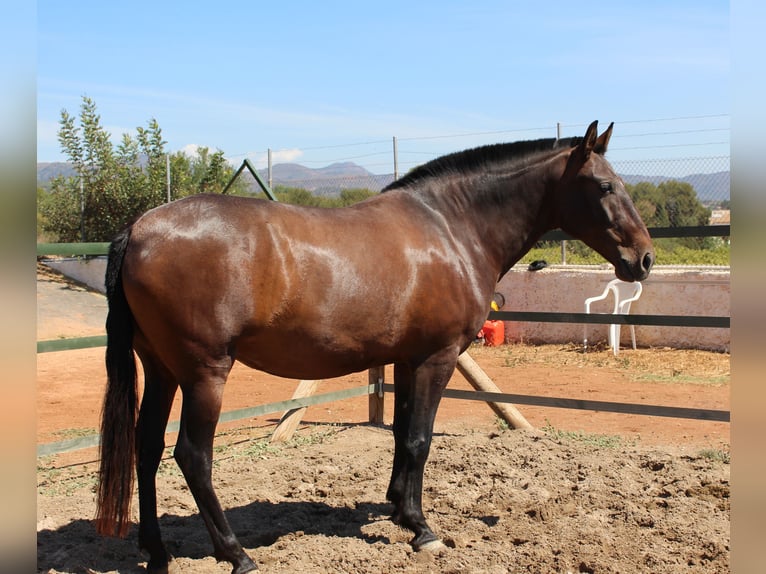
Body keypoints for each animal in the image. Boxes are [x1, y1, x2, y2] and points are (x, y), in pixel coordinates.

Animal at [94, 119, 656, 572]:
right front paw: (423, 530)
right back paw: (237, 554)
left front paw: (400, 511)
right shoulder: (437, 358)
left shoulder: (407, 361)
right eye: (605, 185)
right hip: (204, 373)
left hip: (163, 370)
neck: (451, 227)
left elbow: (403, 434)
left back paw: (157, 551)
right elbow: (420, 439)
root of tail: (138, 229)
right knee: (192, 456)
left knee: (147, 448)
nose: (645, 259)